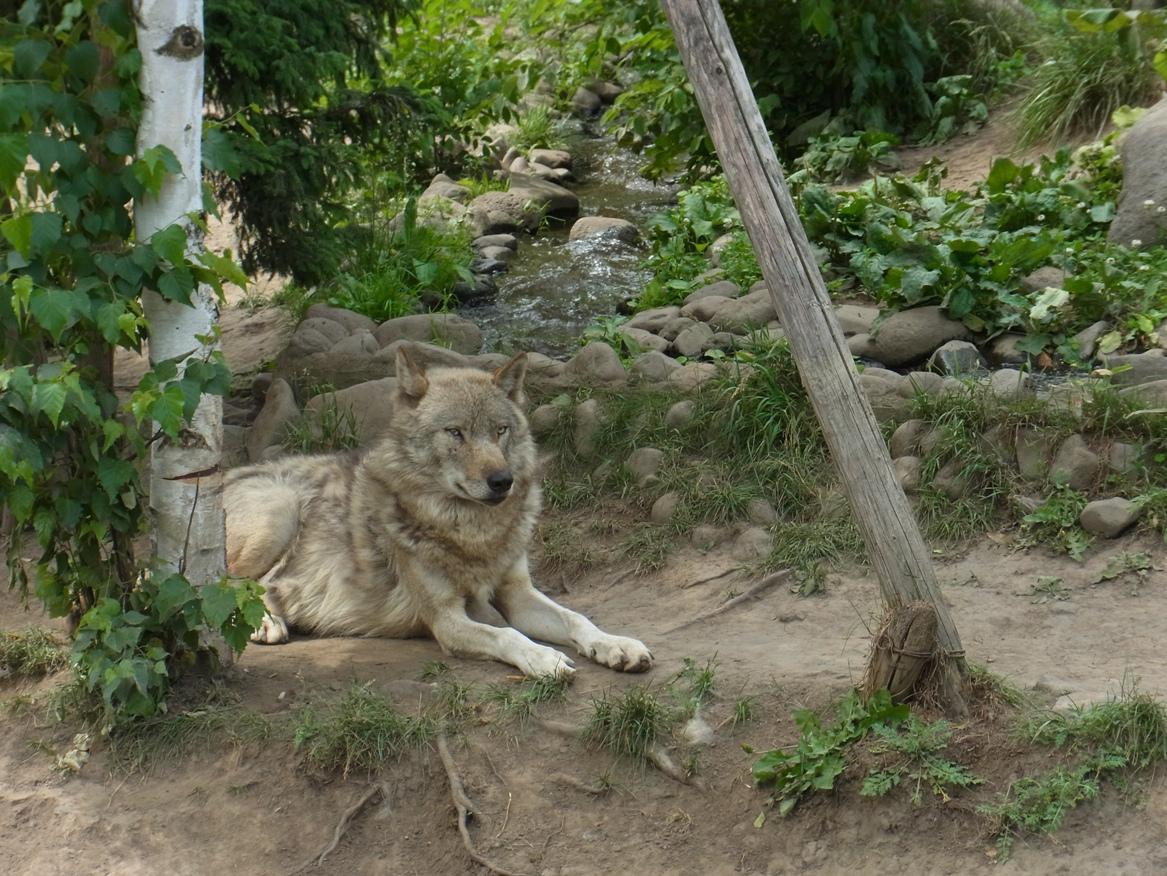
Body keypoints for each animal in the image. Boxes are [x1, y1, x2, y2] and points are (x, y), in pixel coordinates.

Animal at [224, 345, 652, 678]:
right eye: (455, 433)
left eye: (500, 430)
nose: (503, 480)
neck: (473, 532)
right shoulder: (446, 619)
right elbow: (507, 634)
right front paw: (544, 657)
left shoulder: (518, 594)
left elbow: (577, 617)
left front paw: (616, 645)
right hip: (280, 509)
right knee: (226, 583)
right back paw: (265, 623)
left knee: (263, 587)